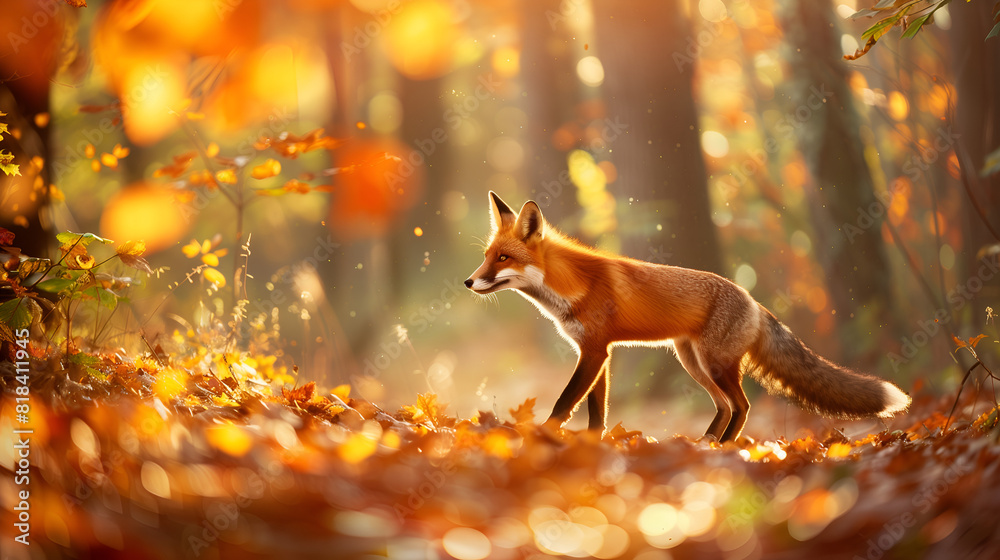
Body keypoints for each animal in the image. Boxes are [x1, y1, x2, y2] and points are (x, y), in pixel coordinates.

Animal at [464, 192, 911, 442]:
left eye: (503, 258)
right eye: (486, 255)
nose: (468, 281)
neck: (571, 285)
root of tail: (753, 300)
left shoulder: (594, 352)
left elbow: (563, 402)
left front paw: (541, 436)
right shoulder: (598, 352)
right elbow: (596, 411)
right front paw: (592, 445)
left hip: (713, 364)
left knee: (742, 405)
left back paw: (725, 447)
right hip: (692, 362)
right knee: (726, 407)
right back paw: (705, 444)